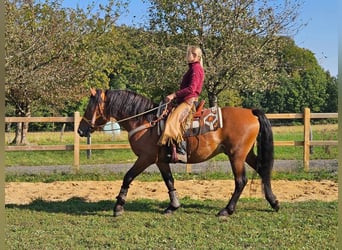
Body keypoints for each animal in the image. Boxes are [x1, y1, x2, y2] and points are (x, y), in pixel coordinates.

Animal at [79, 88, 280, 217]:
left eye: (89, 107)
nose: (80, 130)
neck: (146, 121)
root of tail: (251, 112)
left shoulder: (145, 158)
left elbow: (128, 176)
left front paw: (118, 207)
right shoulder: (160, 160)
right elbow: (169, 181)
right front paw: (173, 206)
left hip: (236, 155)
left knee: (240, 181)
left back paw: (227, 210)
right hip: (246, 154)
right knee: (262, 170)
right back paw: (274, 202)